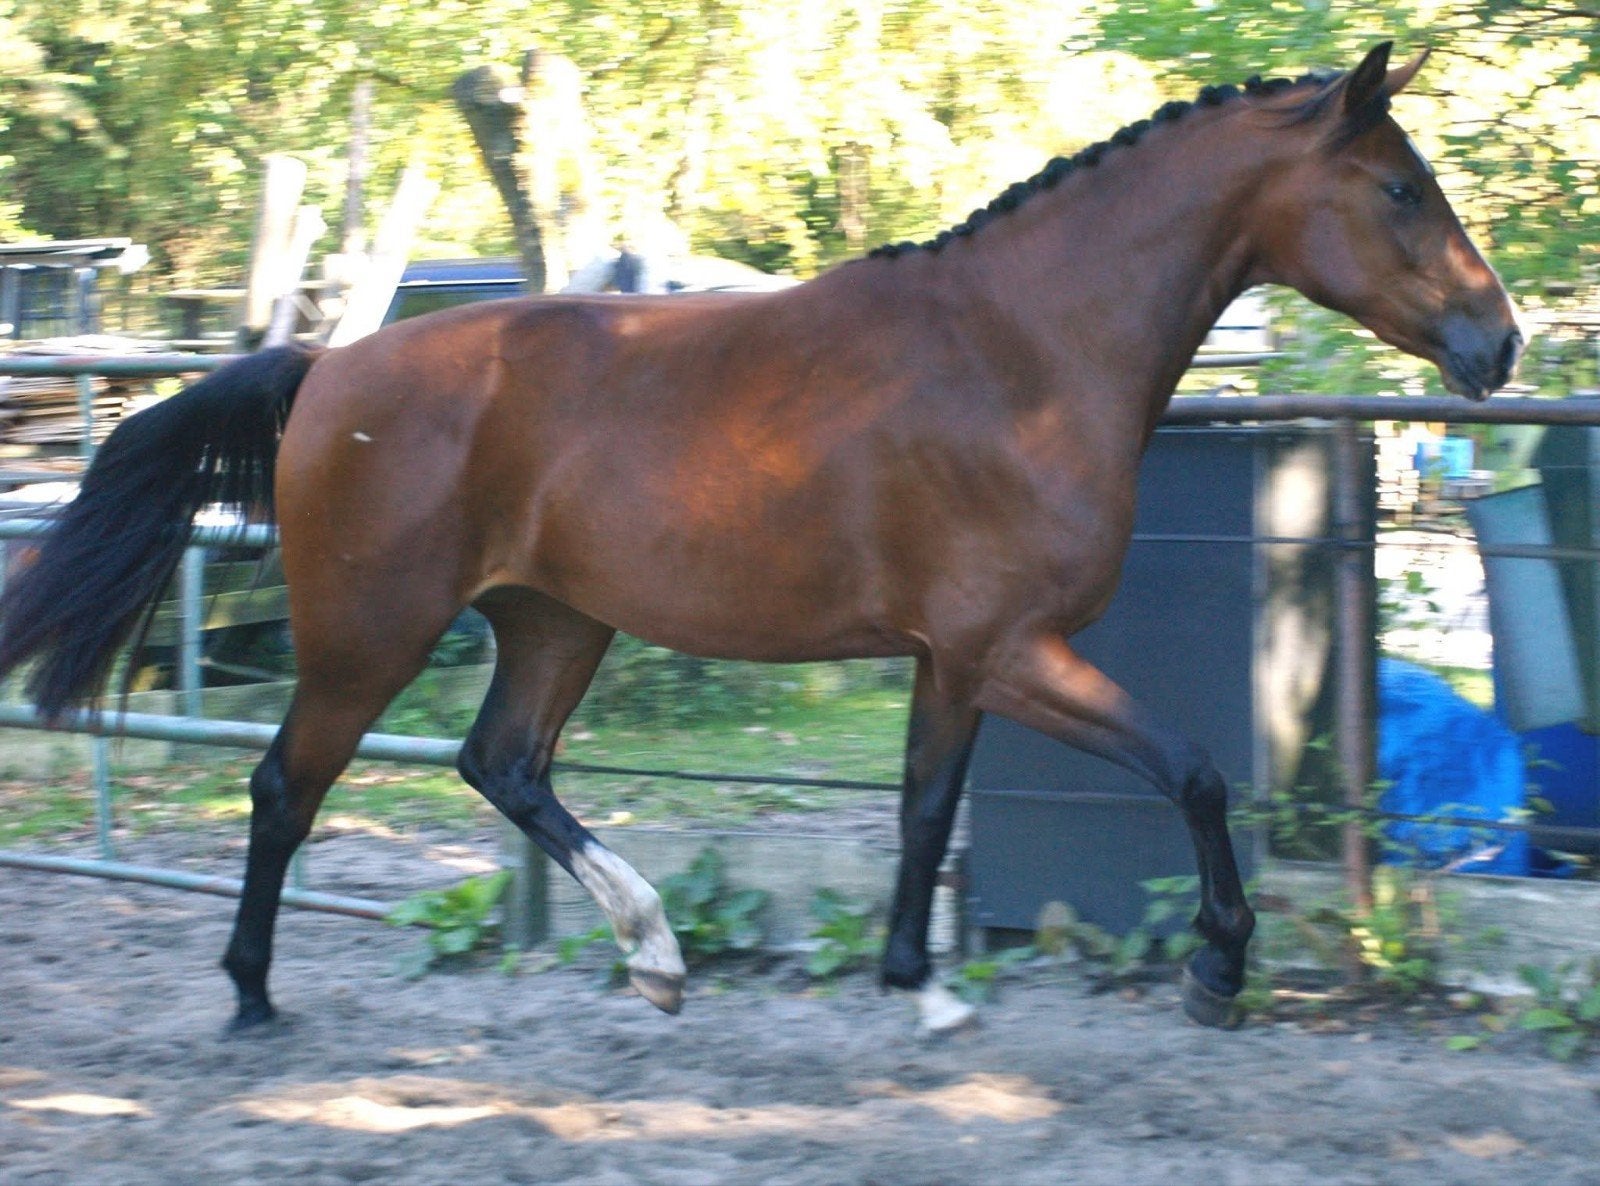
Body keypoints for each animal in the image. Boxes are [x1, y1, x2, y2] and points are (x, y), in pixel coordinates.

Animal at [0, 42, 1521, 1035]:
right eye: (1399, 189)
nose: (1496, 344)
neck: (1023, 352)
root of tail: (325, 368)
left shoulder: (953, 660)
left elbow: (923, 813)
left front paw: (917, 985)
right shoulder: (1014, 649)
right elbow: (1195, 773)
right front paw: (1217, 969)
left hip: (557, 620)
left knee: (503, 765)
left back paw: (657, 953)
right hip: (371, 634)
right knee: (284, 788)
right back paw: (254, 994)